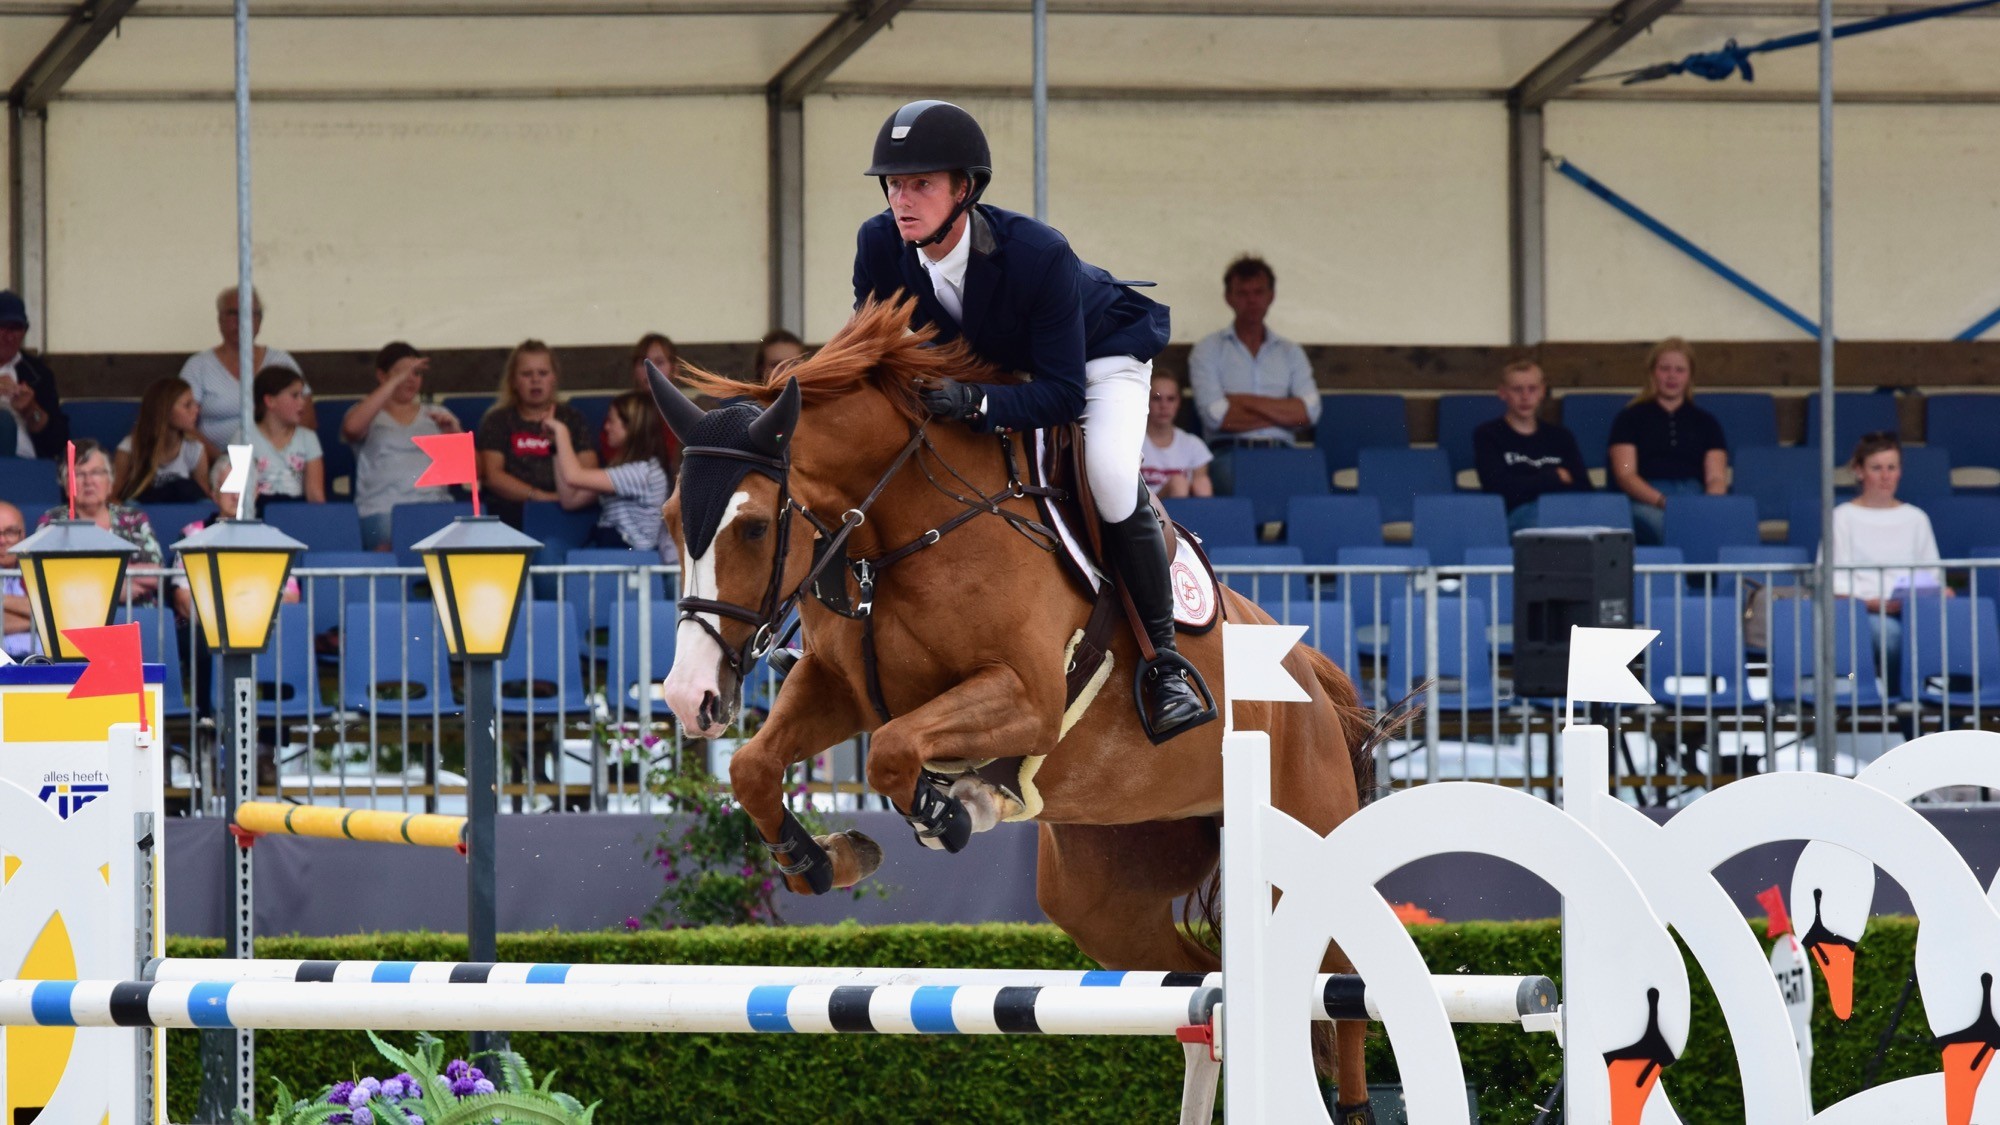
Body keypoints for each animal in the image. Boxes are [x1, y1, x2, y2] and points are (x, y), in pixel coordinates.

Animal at [648, 296, 1384, 1104]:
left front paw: (954, 809)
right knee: (1199, 987)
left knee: (1345, 992)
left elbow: (895, 753)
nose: (690, 695)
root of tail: (1313, 673)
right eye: (672, 519)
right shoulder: (839, 689)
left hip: (1307, 843)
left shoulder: (1026, 697)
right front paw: (827, 858)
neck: (899, 532)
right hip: (1105, 891)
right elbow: (754, 766)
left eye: (752, 527)